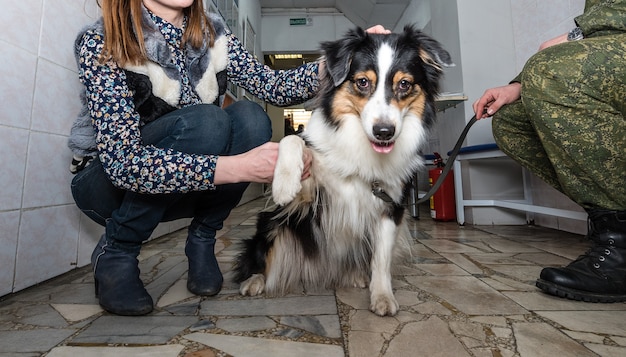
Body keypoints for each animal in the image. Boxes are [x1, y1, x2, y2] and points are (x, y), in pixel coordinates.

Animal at [232, 25, 450, 314]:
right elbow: (293, 140)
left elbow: (381, 259)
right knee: (260, 254)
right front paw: (283, 184)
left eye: (404, 84)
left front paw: (382, 296)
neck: (363, 148)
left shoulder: (391, 204)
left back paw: (355, 275)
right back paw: (254, 280)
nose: (384, 132)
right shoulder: (309, 196)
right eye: (362, 82)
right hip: (272, 224)